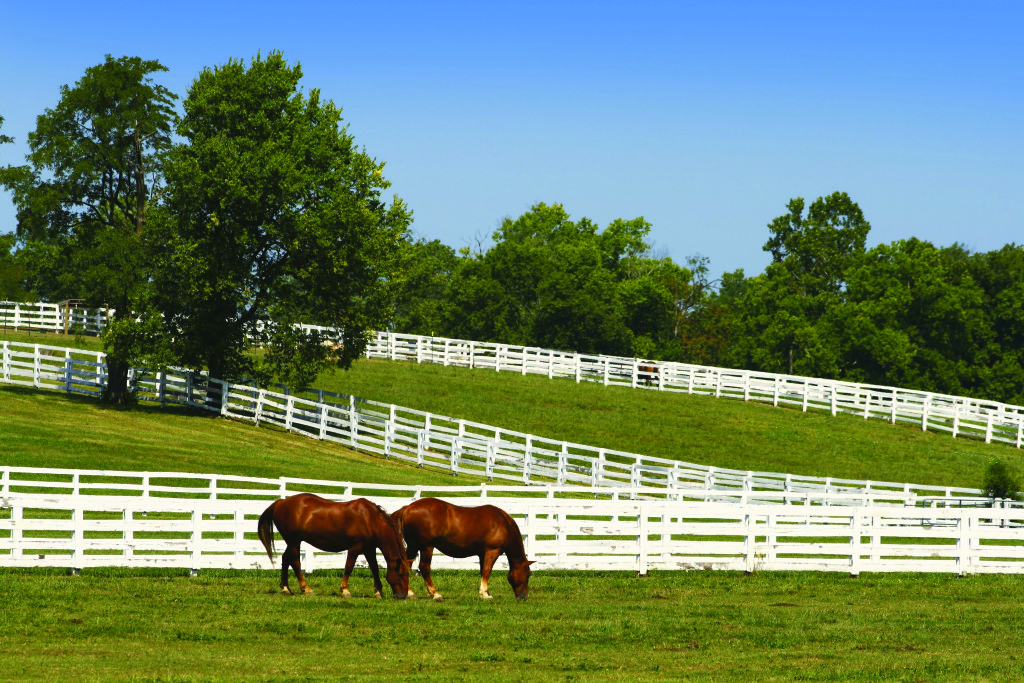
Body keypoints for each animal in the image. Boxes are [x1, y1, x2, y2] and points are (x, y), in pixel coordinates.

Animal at [258, 493, 409, 602]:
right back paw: (306, 589)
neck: (371, 519)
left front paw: (378, 591)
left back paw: (286, 588)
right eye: (401, 573)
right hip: (294, 541)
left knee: (285, 559)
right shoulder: (355, 547)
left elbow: (375, 569)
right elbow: (349, 567)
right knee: (295, 562)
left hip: (292, 542)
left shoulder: (369, 549)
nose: (403, 596)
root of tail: (281, 502)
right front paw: (345, 590)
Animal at [344, 497, 536, 602]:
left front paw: (485, 592)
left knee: (407, 565)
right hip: (426, 547)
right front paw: (485, 594)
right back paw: (435, 594)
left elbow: (483, 571)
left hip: (413, 546)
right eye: (528, 575)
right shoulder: (492, 551)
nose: (524, 597)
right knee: (424, 568)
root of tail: (408, 508)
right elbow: (487, 571)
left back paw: (410, 592)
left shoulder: (482, 553)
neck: (503, 523)